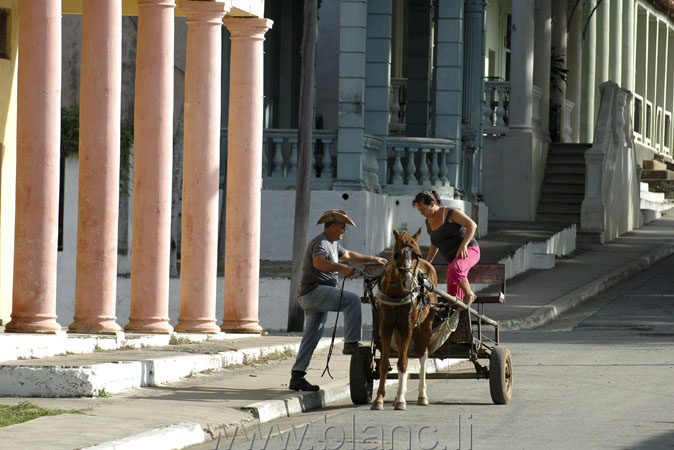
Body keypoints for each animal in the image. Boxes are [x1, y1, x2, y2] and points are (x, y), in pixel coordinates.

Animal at [370, 227, 438, 410]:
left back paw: (422, 396)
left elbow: (403, 362)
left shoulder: (407, 326)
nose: (408, 282)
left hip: (425, 326)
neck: (397, 293)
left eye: (417, 255)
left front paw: (401, 399)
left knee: (423, 356)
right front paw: (379, 399)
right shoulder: (386, 327)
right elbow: (384, 363)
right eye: (396, 254)